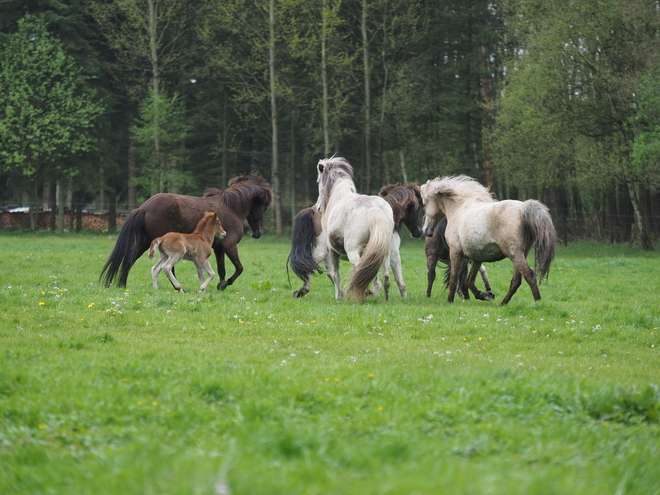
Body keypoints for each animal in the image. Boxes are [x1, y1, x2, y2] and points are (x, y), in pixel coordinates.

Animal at [98, 174, 274, 290]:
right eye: (264, 206)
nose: (257, 233)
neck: (231, 208)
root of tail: (144, 208)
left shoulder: (218, 248)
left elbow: (221, 269)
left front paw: (218, 285)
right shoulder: (229, 245)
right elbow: (239, 268)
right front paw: (223, 284)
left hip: (145, 242)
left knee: (130, 260)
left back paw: (122, 284)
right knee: (167, 268)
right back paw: (177, 287)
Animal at [288, 182, 422, 298]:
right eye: (418, 208)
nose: (419, 231)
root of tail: (312, 209)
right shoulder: (394, 254)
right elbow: (399, 279)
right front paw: (403, 297)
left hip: (328, 252)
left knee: (328, 272)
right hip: (324, 250)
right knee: (311, 264)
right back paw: (305, 290)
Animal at [314, 157, 392, 302]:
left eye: (318, 181)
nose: (318, 208)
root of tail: (373, 209)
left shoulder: (332, 251)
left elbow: (336, 275)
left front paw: (338, 297)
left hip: (353, 251)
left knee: (360, 270)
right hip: (384, 251)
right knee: (384, 276)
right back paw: (384, 298)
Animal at [420, 174, 556, 306]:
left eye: (425, 204)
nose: (426, 230)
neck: (459, 208)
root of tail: (522, 208)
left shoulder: (455, 252)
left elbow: (454, 278)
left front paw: (450, 301)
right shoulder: (476, 257)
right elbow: (469, 281)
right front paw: (485, 295)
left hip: (514, 254)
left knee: (529, 275)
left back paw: (537, 302)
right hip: (522, 254)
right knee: (516, 280)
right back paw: (503, 303)